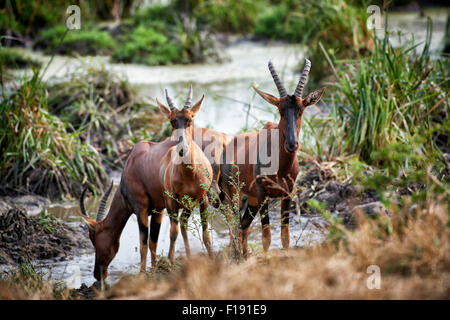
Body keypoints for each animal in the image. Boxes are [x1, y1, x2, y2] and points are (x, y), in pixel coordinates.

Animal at [77, 86, 225, 282]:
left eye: (94, 236)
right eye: (172, 121)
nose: (98, 273)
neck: (134, 160)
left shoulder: (141, 208)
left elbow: (144, 243)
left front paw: (144, 273)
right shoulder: (159, 209)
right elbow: (154, 241)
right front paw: (155, 269)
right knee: (187, 224)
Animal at [221, 58, 324, 258]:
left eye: (301, 110)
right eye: (281, 110)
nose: (292, 144)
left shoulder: (287, 193)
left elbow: (285, 237)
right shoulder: (263, 194)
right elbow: (266, 237)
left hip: (252, 200)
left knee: (243, 227)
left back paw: (244, 256)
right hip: (233, 195)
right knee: (234, 228)